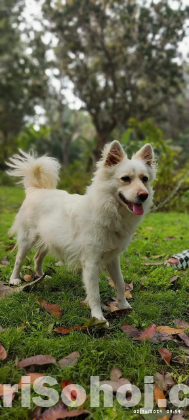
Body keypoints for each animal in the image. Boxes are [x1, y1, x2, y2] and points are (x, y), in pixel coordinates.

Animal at [7, 141, 155, 322]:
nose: (144, 195)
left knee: (37, 257)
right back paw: (14, 279)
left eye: (145, 179)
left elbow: (120, 283)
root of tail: (35, 190)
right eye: (125, 179)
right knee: (19, 259)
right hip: (27, 240)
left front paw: (124, 306)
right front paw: (98, 318)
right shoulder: (91, 263)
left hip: (49, 240)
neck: (107, 209)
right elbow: (95, 294)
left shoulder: (113, 259)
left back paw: (41, 276)